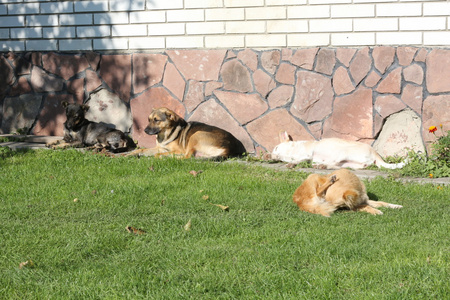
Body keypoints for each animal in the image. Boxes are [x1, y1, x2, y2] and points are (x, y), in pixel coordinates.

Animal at [272, 132, 406, 171]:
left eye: (276, 148)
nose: (271, 155)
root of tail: (375, 153)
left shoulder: (307, 154)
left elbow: (298, 160)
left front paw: (291, 163)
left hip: (343, 151)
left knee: (334, 163)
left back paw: (321, 165)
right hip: (349, 164)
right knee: (337, 166)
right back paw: (321, 165)